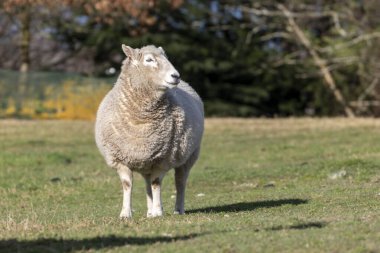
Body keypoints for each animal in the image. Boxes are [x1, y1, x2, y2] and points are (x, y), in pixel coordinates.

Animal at [95, 44, 205, 218]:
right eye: (149, 60)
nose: (176, 76)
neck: (140, 122)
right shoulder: (120, 158)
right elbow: (127, 184)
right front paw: (125, 213)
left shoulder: (163, 159)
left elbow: (156, 183)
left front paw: (158, 211)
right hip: (146, 162)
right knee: (147, 185)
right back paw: (149, 212)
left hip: (188, 156)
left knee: (180, 182)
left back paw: (177, 209)